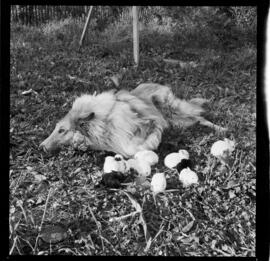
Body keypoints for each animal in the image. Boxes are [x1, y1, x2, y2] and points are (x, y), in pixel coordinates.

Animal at [39, 83, 226, 156]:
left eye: (61, 130)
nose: (40, 147)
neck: (104, 121)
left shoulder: (149, 122)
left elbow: (133, 147)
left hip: (170, 107)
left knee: (201, 117)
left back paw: (222, 129)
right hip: (179, 121)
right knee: (196, 119)